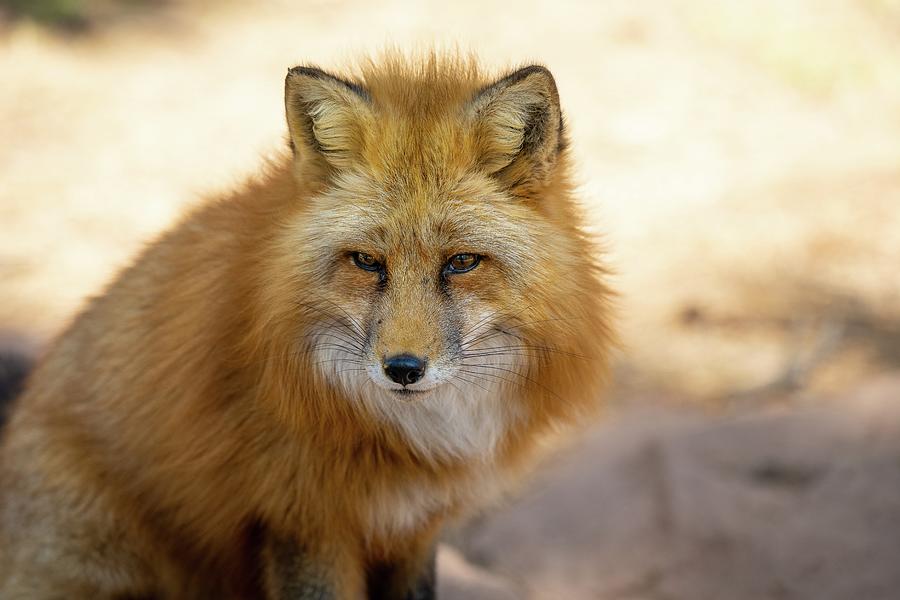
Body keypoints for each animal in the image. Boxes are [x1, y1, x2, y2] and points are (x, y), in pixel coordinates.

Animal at [0, 52, 612, 600]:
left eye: (461, 262)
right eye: (366, 261)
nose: (403, 369)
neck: (404, 441)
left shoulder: (412, 526)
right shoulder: (301, 519)